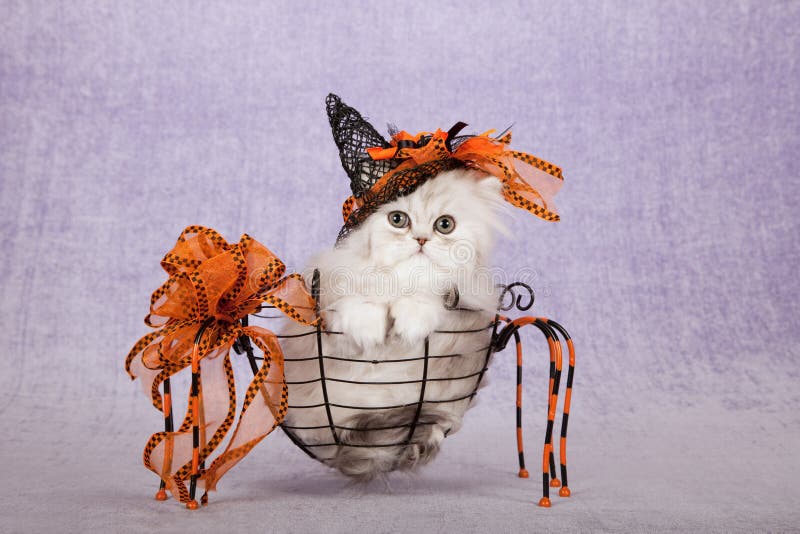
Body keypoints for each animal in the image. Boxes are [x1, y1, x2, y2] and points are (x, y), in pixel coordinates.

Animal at [280, 169, 506, 482]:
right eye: (398, 219)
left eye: (445, 225)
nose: (421, 239)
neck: (401, 284)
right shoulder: (326, 316)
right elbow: (359, 297)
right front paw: (368, 328)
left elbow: (428, 297)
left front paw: (412, 321)